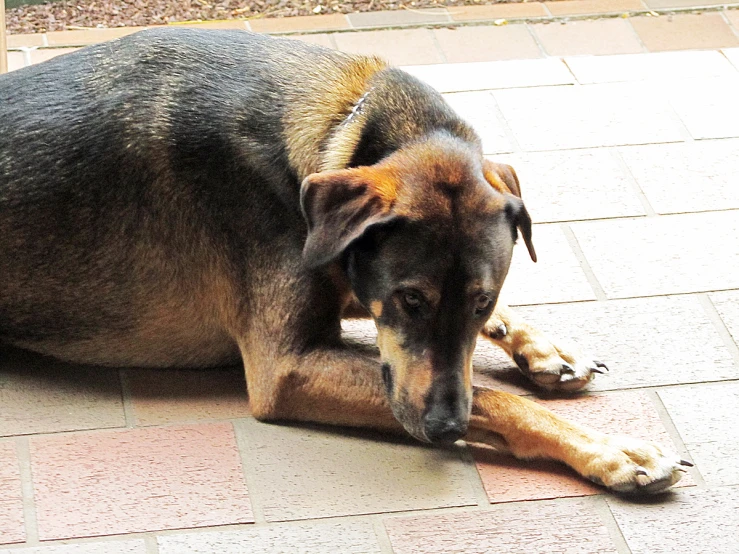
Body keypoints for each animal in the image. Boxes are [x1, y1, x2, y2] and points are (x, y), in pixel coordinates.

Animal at [1, 27, 692, 492]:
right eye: (410, 299)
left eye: (482, 301)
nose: (445, 429)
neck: (340, 129)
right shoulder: (288, 367)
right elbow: (496, 399)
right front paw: (611, 450)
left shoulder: (346, 278)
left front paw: (543, 347)